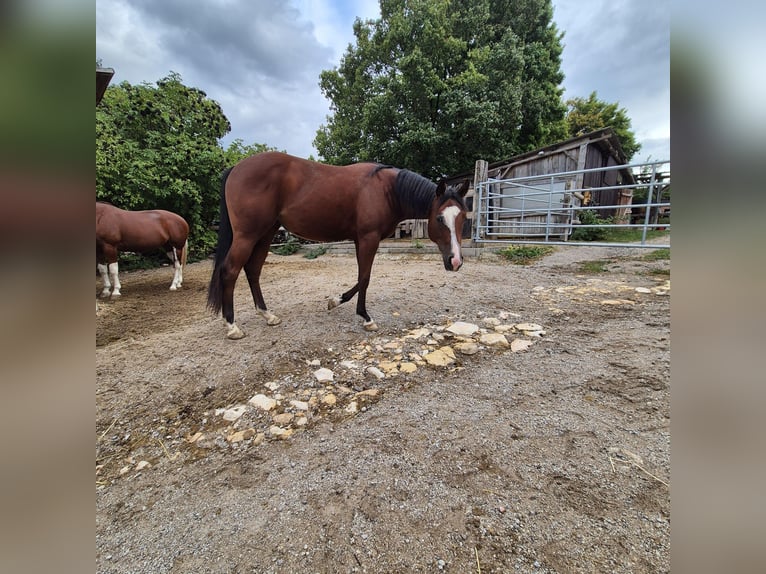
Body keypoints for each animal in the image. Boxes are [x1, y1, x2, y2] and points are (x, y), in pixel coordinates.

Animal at [207, 151, 470, 339]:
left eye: (463, 217)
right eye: (439, 219)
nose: (456, 261)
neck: (387, 190)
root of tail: (236, 168)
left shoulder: (360, 239)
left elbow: (361, 277)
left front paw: (336, 301)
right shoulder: (368, 238)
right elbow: (365, 277)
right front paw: (365, 317)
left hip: (266, 233)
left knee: (253, 270)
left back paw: (267, 314)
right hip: (247, 235)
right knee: (230, 271)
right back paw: (232, 326)